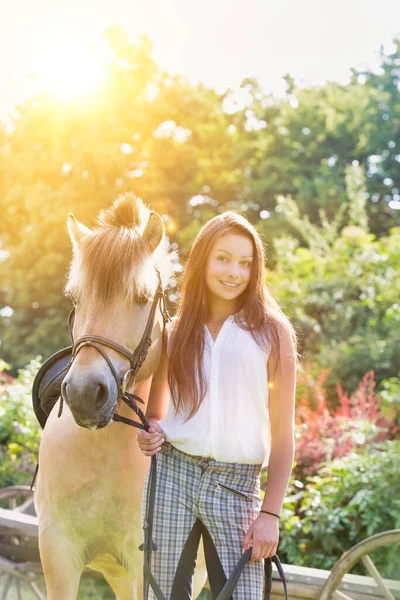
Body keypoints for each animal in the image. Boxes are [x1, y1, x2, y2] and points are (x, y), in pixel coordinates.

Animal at [34, 195, 206, 596]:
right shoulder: (58, 554)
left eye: (141, 297)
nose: (84, 393)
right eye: (75, 298)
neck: (103, 454)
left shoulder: (147, 565)